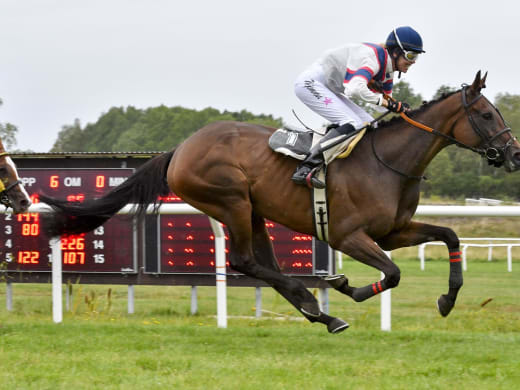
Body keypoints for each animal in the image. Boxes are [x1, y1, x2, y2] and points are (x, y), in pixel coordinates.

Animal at [41, 72, 520, 332]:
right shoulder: (347, 235)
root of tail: (179, 149)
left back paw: (317, 312)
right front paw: (346, 285)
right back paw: (315, 303)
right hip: (230, 201)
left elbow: (450, 234)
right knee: (244, 262)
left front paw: (448, 299)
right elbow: (394, 273)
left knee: (262, 264)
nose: (513, 154)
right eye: (485, 114)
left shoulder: (393, 231)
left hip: (253, 211)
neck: (388, 162)